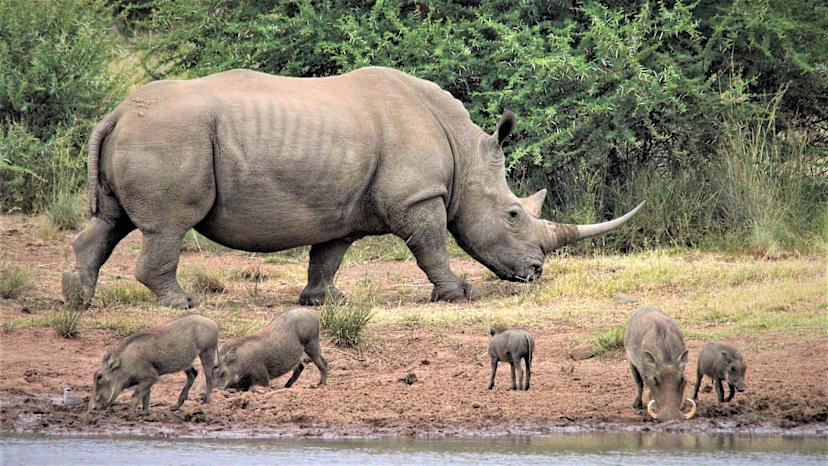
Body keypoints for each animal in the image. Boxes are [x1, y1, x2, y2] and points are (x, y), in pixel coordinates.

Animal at [62, 67, 643, 309]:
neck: (464, 151)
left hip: (146, 132)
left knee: (110, 221)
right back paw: (180, 305)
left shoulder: (339, 205)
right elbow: (431, 245)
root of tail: (116, 112)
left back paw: (78, 300)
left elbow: (329, 254)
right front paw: (457, 294)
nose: (536, 273)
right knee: (167, 224)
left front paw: (323, 301)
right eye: (513, 215)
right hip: (168, 135)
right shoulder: (417, 196)